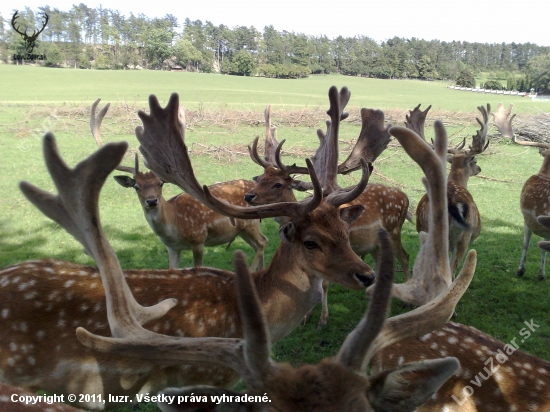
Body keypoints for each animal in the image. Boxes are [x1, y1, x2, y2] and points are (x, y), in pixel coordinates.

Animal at [90, 99, 268, 270]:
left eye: (160, 184)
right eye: (136, 187)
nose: (151, 201)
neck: (173, 225)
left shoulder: (198, 239)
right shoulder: (172, 248)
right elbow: (172, 269)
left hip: (251, 224)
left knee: (262, 242)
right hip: (243, 229)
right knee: (259, 243)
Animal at [248, 87, 412, 326]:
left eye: (277, 184)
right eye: (260, 177)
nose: (248, 195)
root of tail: (406, 197)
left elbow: (325, 283)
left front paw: (322, 318)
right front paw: (306, 316)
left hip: (395, 230)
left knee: (405, 257)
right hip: (375, 243)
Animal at [416, 103, 490, 276]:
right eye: (475, 161)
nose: (479, 168)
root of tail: (451, 201)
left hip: (427, 230)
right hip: (463, 237)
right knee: (451, 270)